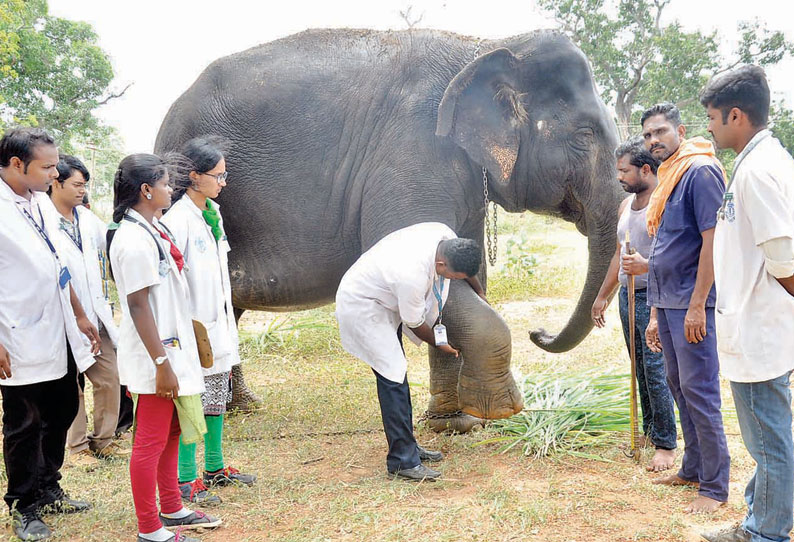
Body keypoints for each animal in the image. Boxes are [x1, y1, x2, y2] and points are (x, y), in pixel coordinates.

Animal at [155, 26, 620, 434]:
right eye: (585, 134)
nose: (538, 332)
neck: (486, 45)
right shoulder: (414, 149)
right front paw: (501, 410)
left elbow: (463, 271)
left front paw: (456, 424)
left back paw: (242, 408)